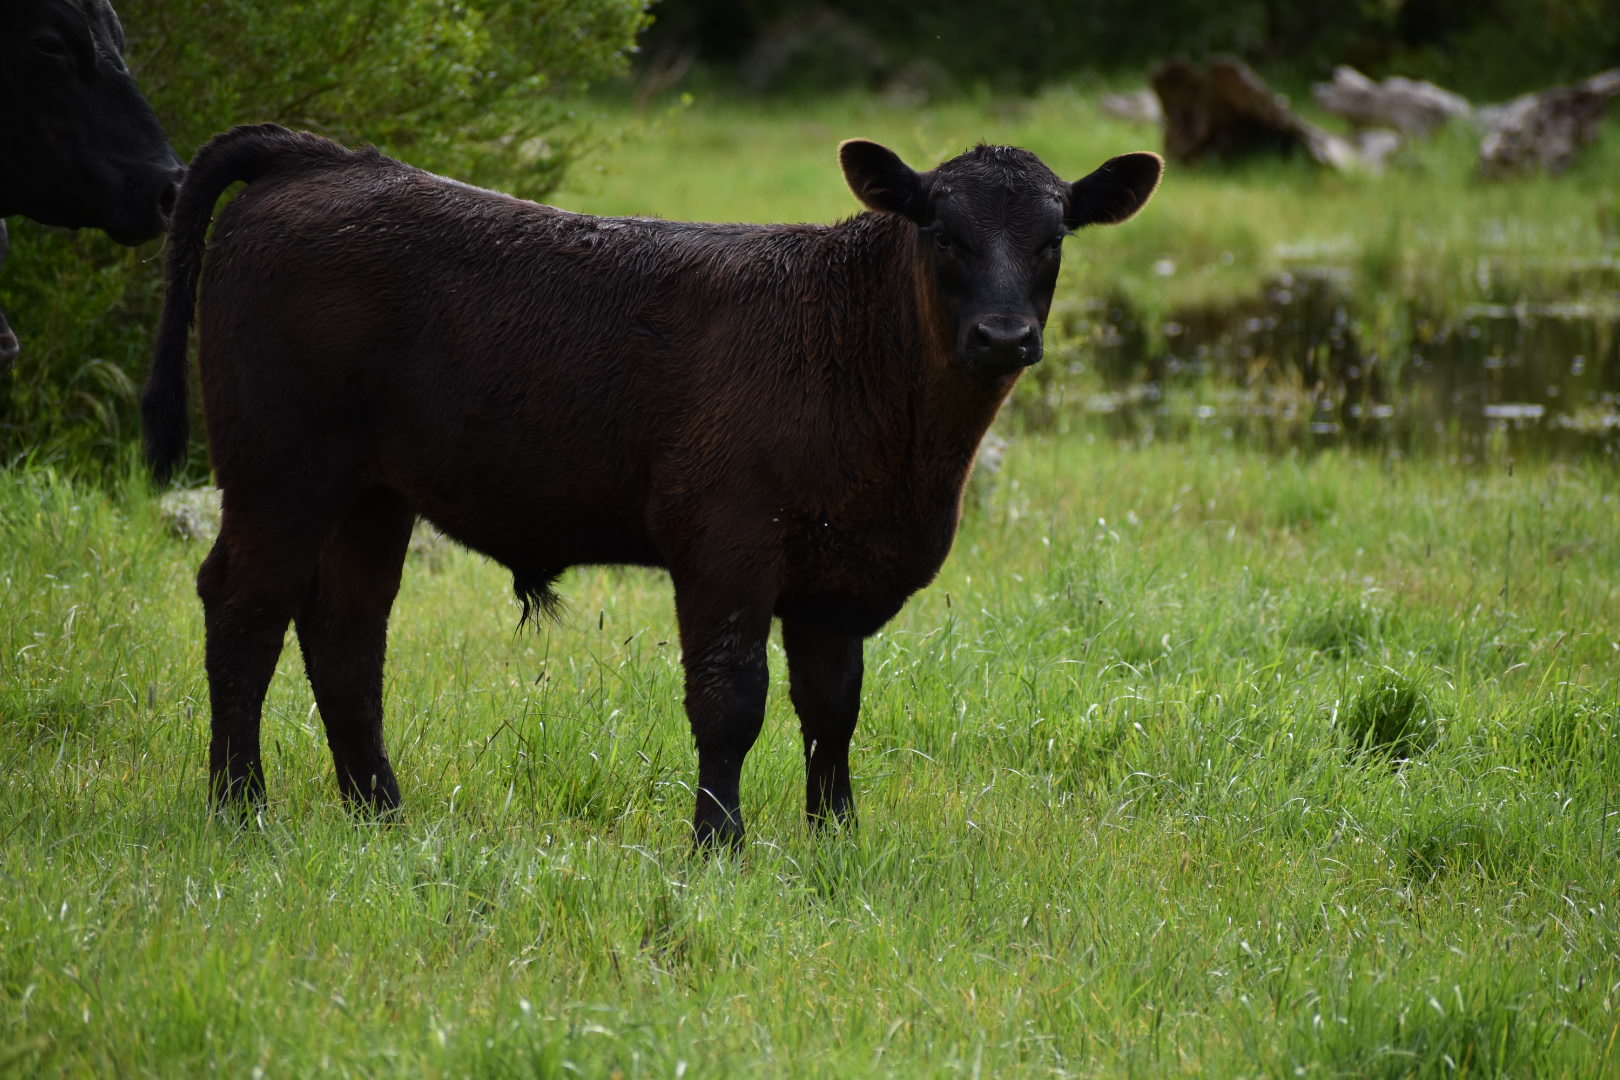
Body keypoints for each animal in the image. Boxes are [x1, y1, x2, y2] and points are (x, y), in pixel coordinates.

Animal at [142, 123, 1162, 846]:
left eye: (1054, 238)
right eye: (944, 232)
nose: (1004, 336)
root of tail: (322, 160)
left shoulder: (834, 576)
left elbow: (833, 708)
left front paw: (835, 837)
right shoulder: (726, 543)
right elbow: (730, 698)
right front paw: (719, 844)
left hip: (371, 495)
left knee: (345, 632)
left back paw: (379, 812)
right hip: (279, 472)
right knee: (244, 610)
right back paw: (241, 808)